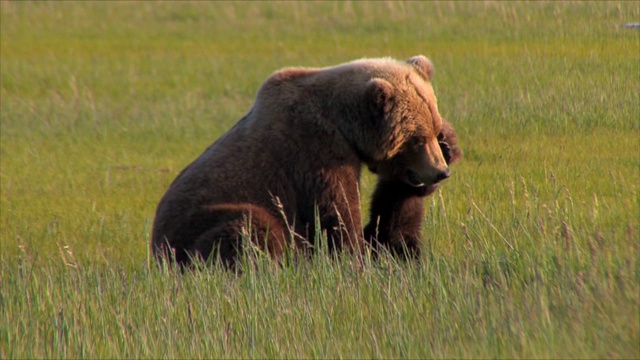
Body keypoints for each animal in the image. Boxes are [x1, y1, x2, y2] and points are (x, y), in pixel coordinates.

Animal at [151, 54, 456, 266]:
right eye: (416, 138)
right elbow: (337, 215)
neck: (344, 125)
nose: (440, 172)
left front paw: (450, 145)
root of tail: (155, 249)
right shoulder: (315, 154)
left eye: (434, 126)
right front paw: (352, 257)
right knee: (251, 227)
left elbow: (388, 228)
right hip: (198, 226)